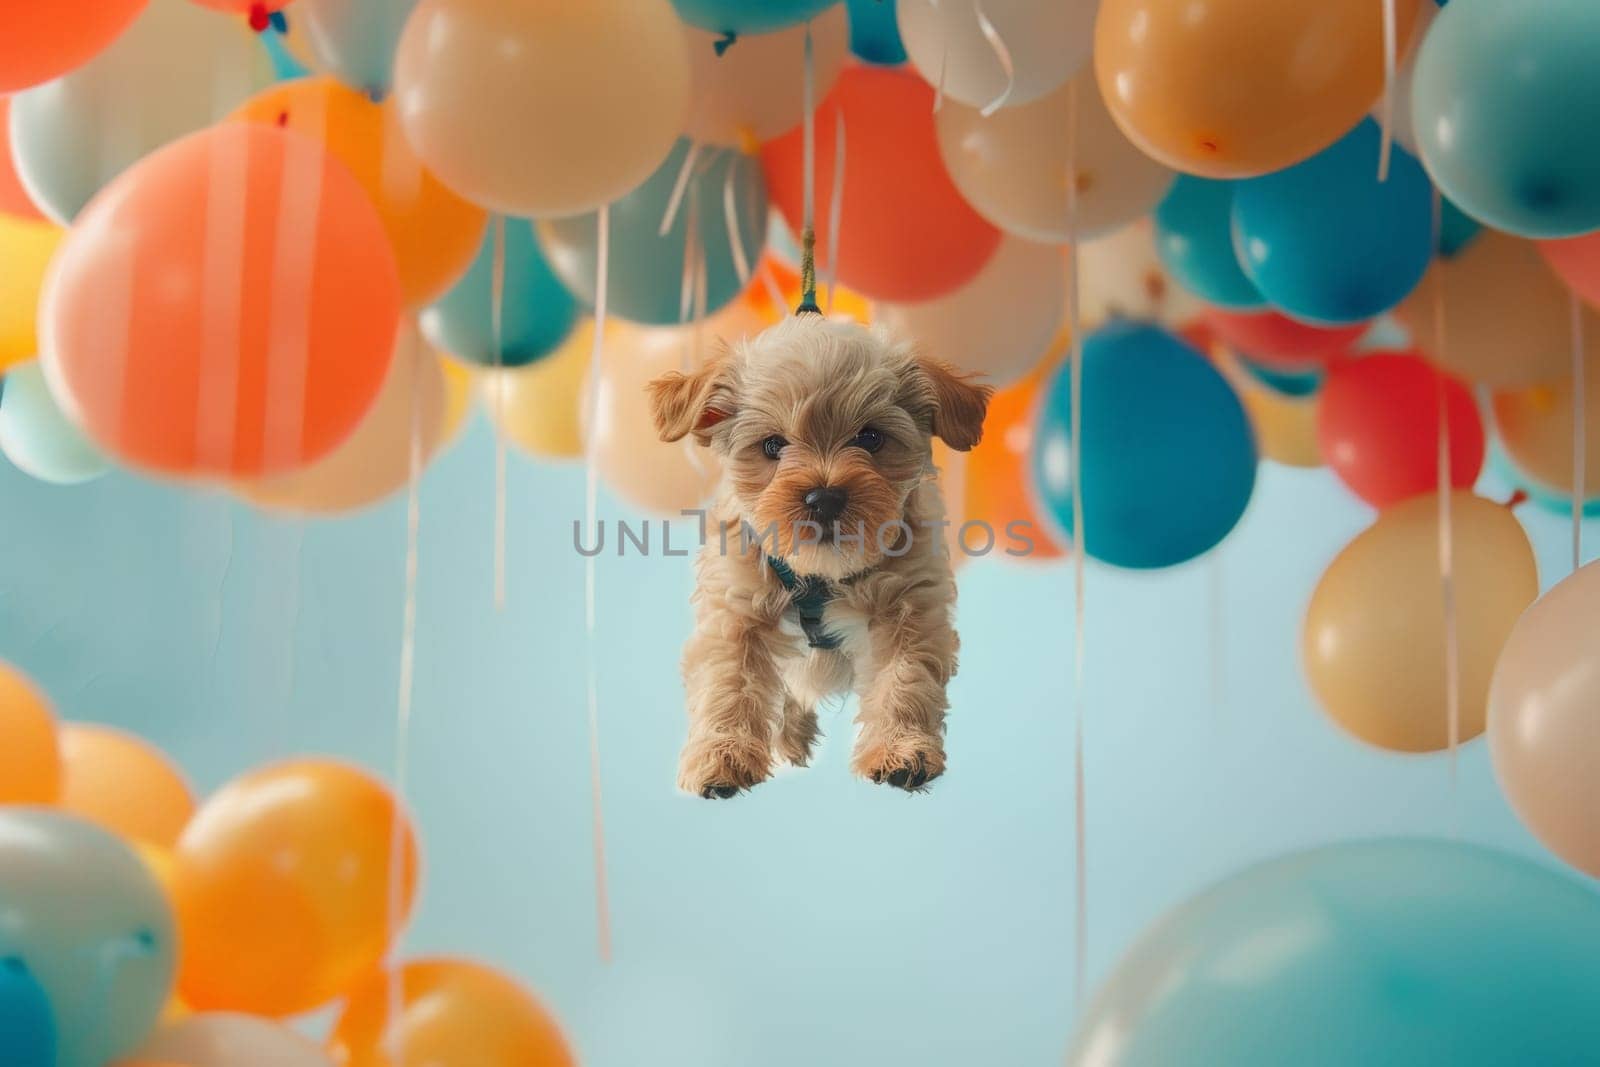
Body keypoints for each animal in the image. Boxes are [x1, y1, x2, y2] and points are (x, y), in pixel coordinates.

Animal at [649, 313, 985, 796]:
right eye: (773, 445)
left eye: (870, 437)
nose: (824, 498)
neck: (821, 574)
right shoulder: (736, 610)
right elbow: (729, 682)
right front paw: (722, 755)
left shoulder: (909, 605)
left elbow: (904, 680)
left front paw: (901, 750)